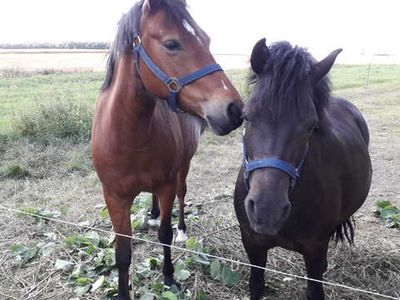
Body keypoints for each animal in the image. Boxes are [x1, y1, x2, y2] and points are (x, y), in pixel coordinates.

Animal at [90, 1, 242, 298]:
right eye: (172, 44)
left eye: (207, 39)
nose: (234, 109)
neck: (128, 137)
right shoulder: (114, 196)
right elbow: (122, 253)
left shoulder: (166, 186)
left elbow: (165, 234)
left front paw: (170, 277)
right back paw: (151, 214)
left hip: (183, 167)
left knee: (182, 196)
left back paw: (181, 228)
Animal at [234, 38, 372, 298]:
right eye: (246, 117)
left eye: (311, 126)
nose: (268, 211)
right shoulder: (252, 243)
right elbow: (256, 286)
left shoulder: (314, 248)